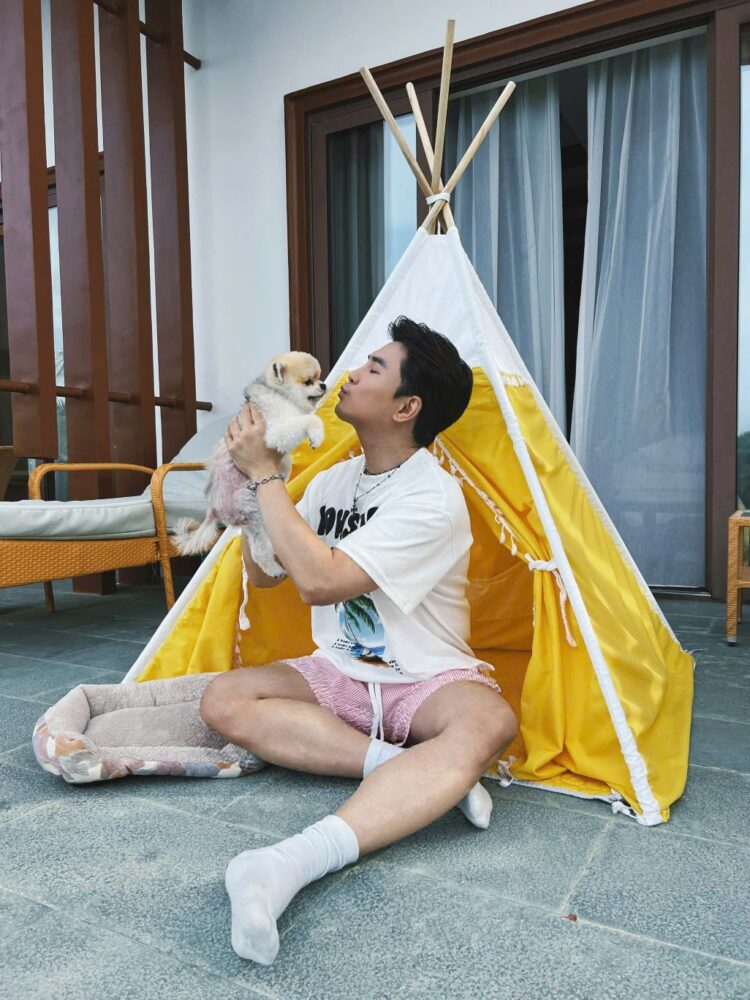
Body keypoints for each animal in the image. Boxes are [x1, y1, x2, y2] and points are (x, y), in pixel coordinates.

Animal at [172, 351, 326, 577]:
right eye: (308, 381)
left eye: (319, 377)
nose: (323, 385)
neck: (281, 395)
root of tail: (213, 509)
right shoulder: (276, 431)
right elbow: (310, 420)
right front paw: (316, 435)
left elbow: (288, 457)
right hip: (254, 505)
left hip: (252, 522)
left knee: (258, 549)